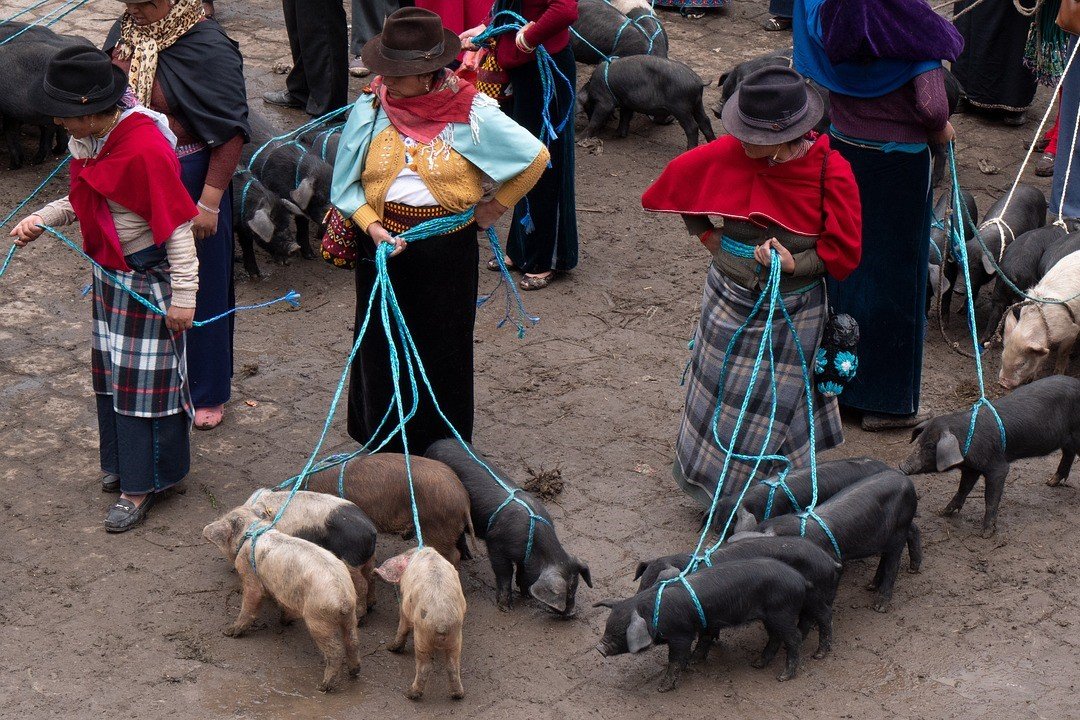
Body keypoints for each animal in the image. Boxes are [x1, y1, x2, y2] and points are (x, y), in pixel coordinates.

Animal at [578, 56, 712, 152]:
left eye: (588, 107)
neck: (591, 88)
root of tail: (698, 81)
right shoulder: (626, 103)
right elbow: (625, 117)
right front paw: (618, 134)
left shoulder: (605, 102)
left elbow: (596, 119)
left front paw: (578, 139)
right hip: (698, 103)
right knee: (705, 120)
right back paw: (712, 142)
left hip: (680, 107)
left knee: (692, 126)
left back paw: (689, 150)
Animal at [898, 375, 1080, 537]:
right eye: (919, 441)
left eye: (930, 446)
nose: (902, 466)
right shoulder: (971, 469)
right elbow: (963, 488)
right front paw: (944, 512)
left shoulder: (997, 467)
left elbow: (991, 498)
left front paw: (985, 534)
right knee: (1068, 453)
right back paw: (1050, 482)